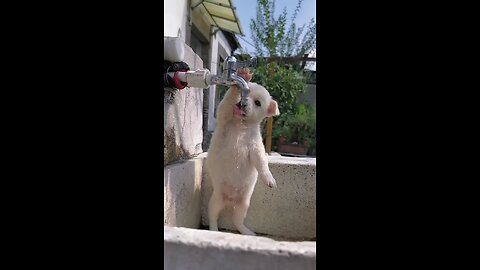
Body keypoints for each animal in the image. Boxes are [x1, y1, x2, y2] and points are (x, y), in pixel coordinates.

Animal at [205, 68, 280, 235]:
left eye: (258, 103)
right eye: (243, 94)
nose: (242, 103)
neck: (241, 124)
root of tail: (230, 200)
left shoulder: (256, 147)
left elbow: (262, 163)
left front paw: (269, 178)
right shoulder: (224, 116)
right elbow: (226, 102)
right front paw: (243, 75)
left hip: (243, 204)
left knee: (237, 220)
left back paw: (247, 232)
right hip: (216, 200)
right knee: (213, 216)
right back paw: (214, 230)